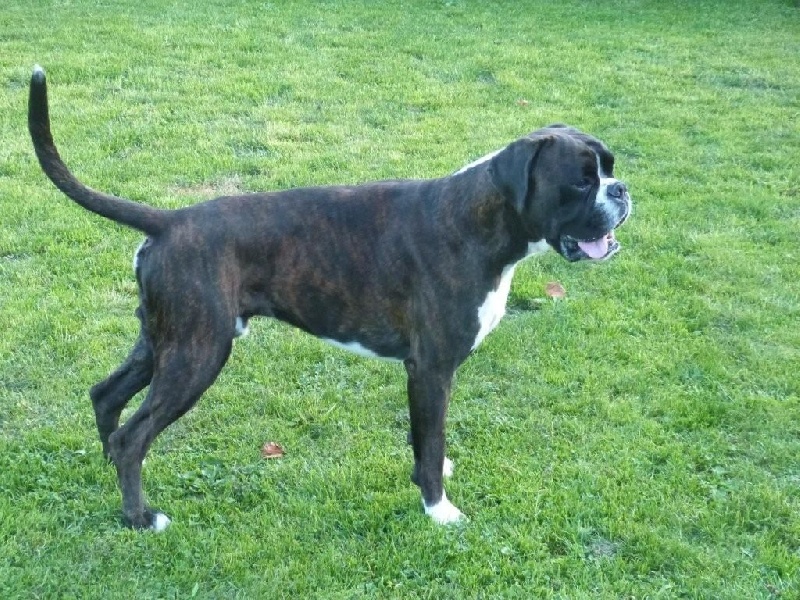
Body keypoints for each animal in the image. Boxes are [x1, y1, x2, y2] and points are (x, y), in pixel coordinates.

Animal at [28, 65, 630, 530]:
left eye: (609, 169)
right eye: (581, 182)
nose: (622, 191)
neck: (479, 219)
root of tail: (170, 221)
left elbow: (426, 440)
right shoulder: (431, 368)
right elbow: (431, 441)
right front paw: (439, 510)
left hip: (163, 341)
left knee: (106, 398)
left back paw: (107, 475)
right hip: (197, 354)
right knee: (134, 436)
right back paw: (140, 518)